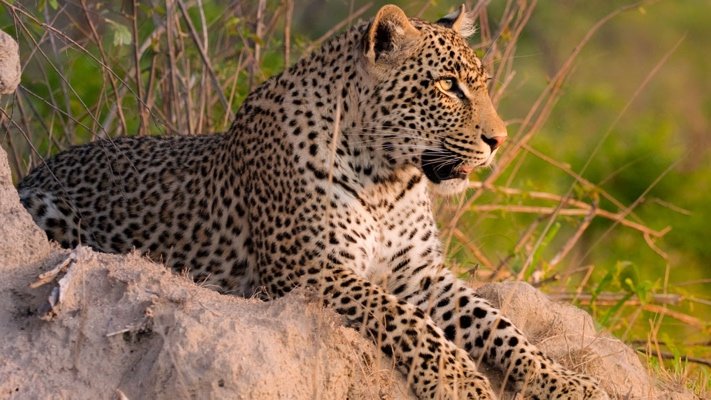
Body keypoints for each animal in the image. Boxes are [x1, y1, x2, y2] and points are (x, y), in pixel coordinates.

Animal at [19, 4, 612, 398]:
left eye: (481, 84)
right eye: (448, 86)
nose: (499, 140)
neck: (388, 180)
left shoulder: (420, 273)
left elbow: (499, 324)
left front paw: (564, 380)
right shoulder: (309, 267)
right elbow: (405, 320)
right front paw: (459, 380)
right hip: (47, 209)